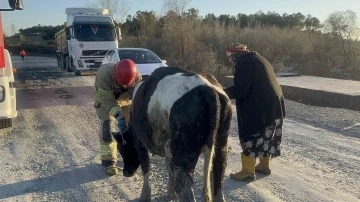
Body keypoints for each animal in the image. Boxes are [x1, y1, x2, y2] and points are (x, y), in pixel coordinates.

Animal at [112, 66, 232, 202]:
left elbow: (146, 167)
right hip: (221, 144)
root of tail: (208, 91)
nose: (126, 173)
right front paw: (171, 191)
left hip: (183, 156)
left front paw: (145, 195)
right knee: (218, 173)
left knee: (184, 183)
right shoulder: (168, 146)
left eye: (123, 148)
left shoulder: (140, 142)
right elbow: (168, 166)